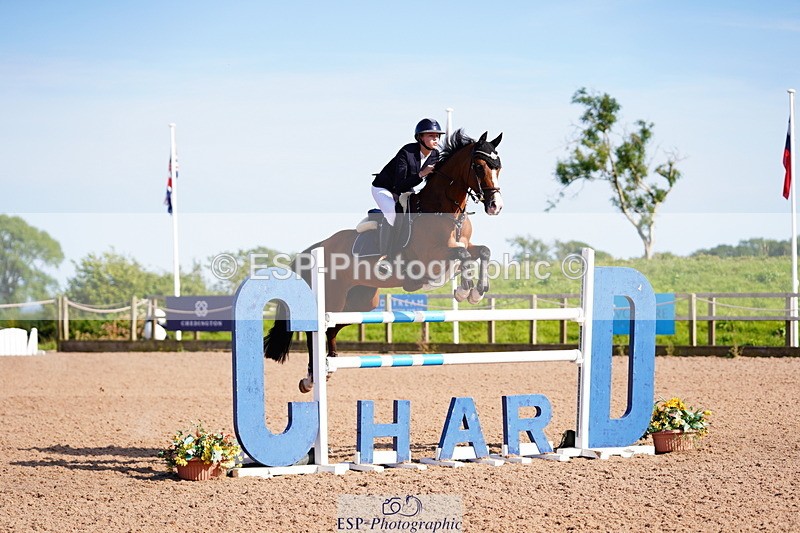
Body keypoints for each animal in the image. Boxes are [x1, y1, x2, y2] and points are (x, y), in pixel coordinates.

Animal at [264, 129, 504, 392]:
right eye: (479, 166)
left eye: (499, 167)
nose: (496, 206)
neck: (446, 212)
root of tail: (316, 248)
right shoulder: (431, 257)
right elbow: (462, 256)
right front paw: (464, 290)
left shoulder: (464, 246)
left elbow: (482, 252)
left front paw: (477, 292)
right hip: (334, 298)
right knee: (315, 329)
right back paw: (311, 377)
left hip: (361, 302)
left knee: (333, 328)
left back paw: (329, 365)